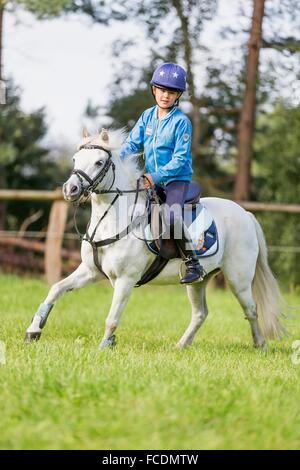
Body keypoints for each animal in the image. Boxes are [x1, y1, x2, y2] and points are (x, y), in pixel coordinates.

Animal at [25, 129, 284, 348]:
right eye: (75, 159)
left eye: (99, 162)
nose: (70, 190)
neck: (112, 219)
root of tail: (245, 214)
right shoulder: (90, 271)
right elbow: (56, 289)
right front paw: (33, 331)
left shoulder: (126, 280)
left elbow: (112, 317)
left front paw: (104, 347)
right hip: (198, 281)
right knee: (200, 313)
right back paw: (181, 346)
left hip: (238, 279)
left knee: (251, 309)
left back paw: (260, 346)